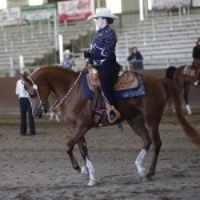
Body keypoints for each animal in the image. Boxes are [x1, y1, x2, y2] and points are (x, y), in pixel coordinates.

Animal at [21, 65, 200, 186]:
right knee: (147, 141)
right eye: (27, 93)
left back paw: (149, 173)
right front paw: (91, 176)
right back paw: (140, 169)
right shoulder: (74, 128)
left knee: (156, 143)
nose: (36, 113)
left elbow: (67, 147)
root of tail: (158, 80)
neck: (73, 90)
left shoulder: (82, 126)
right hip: (135, 120)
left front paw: (82, 170)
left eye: (33, 93)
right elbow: (82, 150)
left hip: (151, 119)